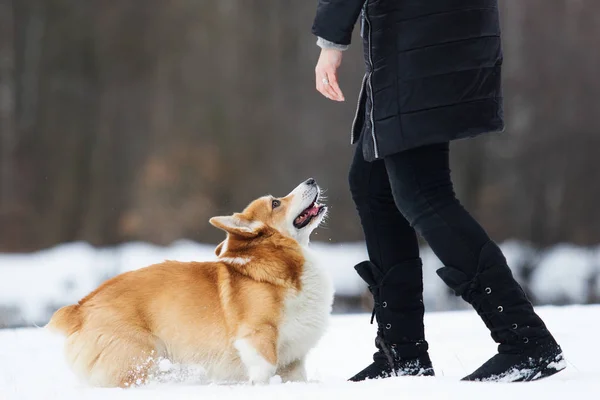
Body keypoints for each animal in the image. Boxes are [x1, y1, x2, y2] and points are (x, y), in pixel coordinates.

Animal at [48, 179, 332, 388]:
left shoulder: (294, 358)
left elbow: (296, 376)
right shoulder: (257, 335)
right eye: (275, 203)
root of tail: (79, 309)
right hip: (141, 355)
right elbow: (264, 370)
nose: (311, 179)